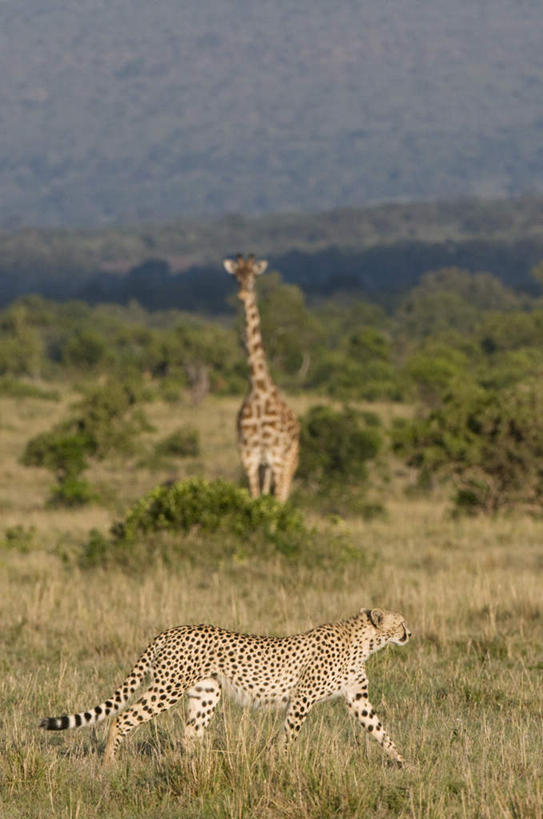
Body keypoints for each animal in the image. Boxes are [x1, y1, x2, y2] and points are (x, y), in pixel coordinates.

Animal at [39, 604, 412, 764]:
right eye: (401, 623)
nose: (410, 634)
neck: (365, 641)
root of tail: (169, 630)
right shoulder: (302, 698)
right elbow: (289, 735)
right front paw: (281, 764)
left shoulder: (357, 699)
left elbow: (381, 731)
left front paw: (404, 763)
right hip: (168, 687)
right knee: (122, 718)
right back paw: (110, 765)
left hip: (206, 693)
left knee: (189, 735)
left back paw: (197, 767)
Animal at [225, 255, 302, 506]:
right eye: (236, 278)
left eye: (253, 278)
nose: (242, 296)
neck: (258, 389)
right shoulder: (249, 458)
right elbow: (255, 499)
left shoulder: (276, 457)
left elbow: (276, 502)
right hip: (265, 465)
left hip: (289, 460)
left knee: (283, 496)